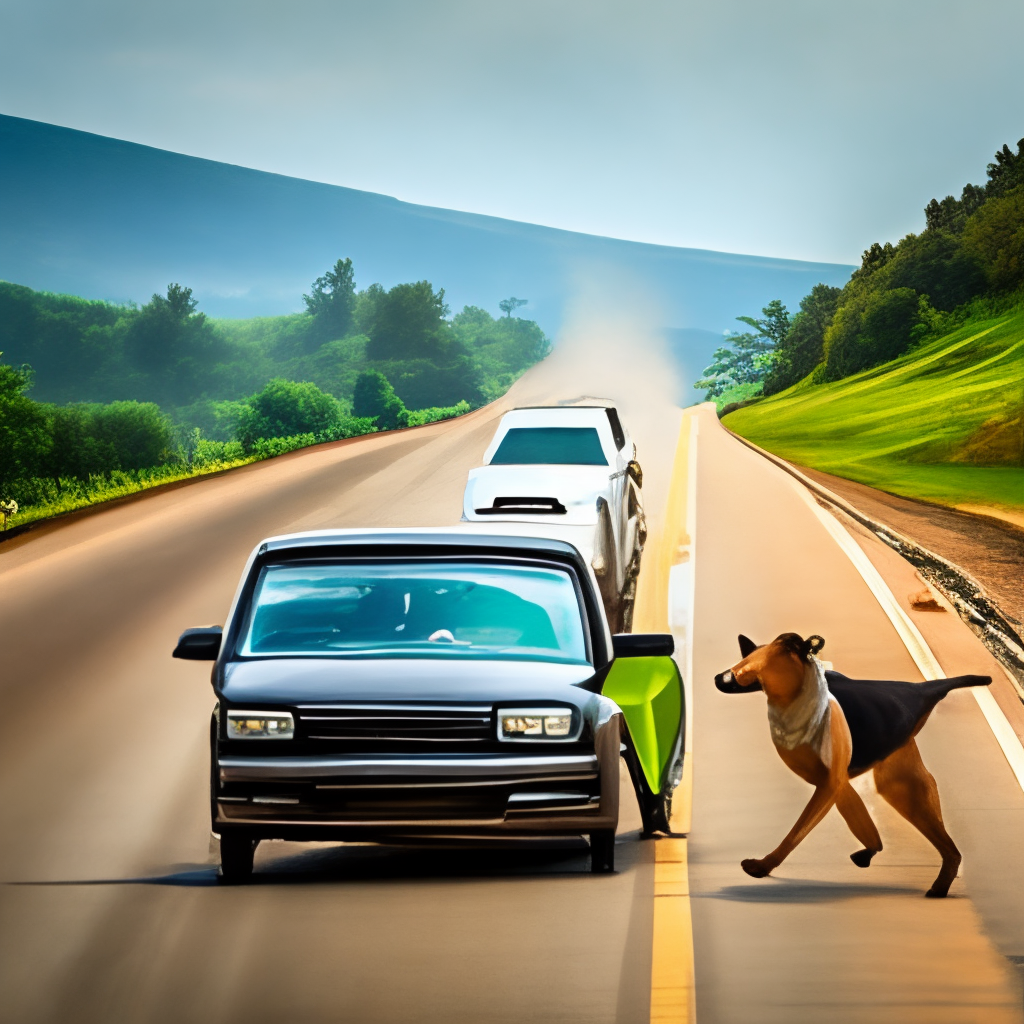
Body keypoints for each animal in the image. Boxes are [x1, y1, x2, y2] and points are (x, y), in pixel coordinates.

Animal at [712, 630, 991, 897]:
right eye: (744, 660)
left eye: (748, 667)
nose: (721, 678)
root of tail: (920, 688)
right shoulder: (834, 782)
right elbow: (860, 820)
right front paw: (870, 849)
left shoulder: (830, 782)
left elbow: (798, 831)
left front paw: (763, 866)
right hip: (900, 783)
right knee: (944, 840)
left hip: (903, 785)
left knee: (950, 848)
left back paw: (941, 885)